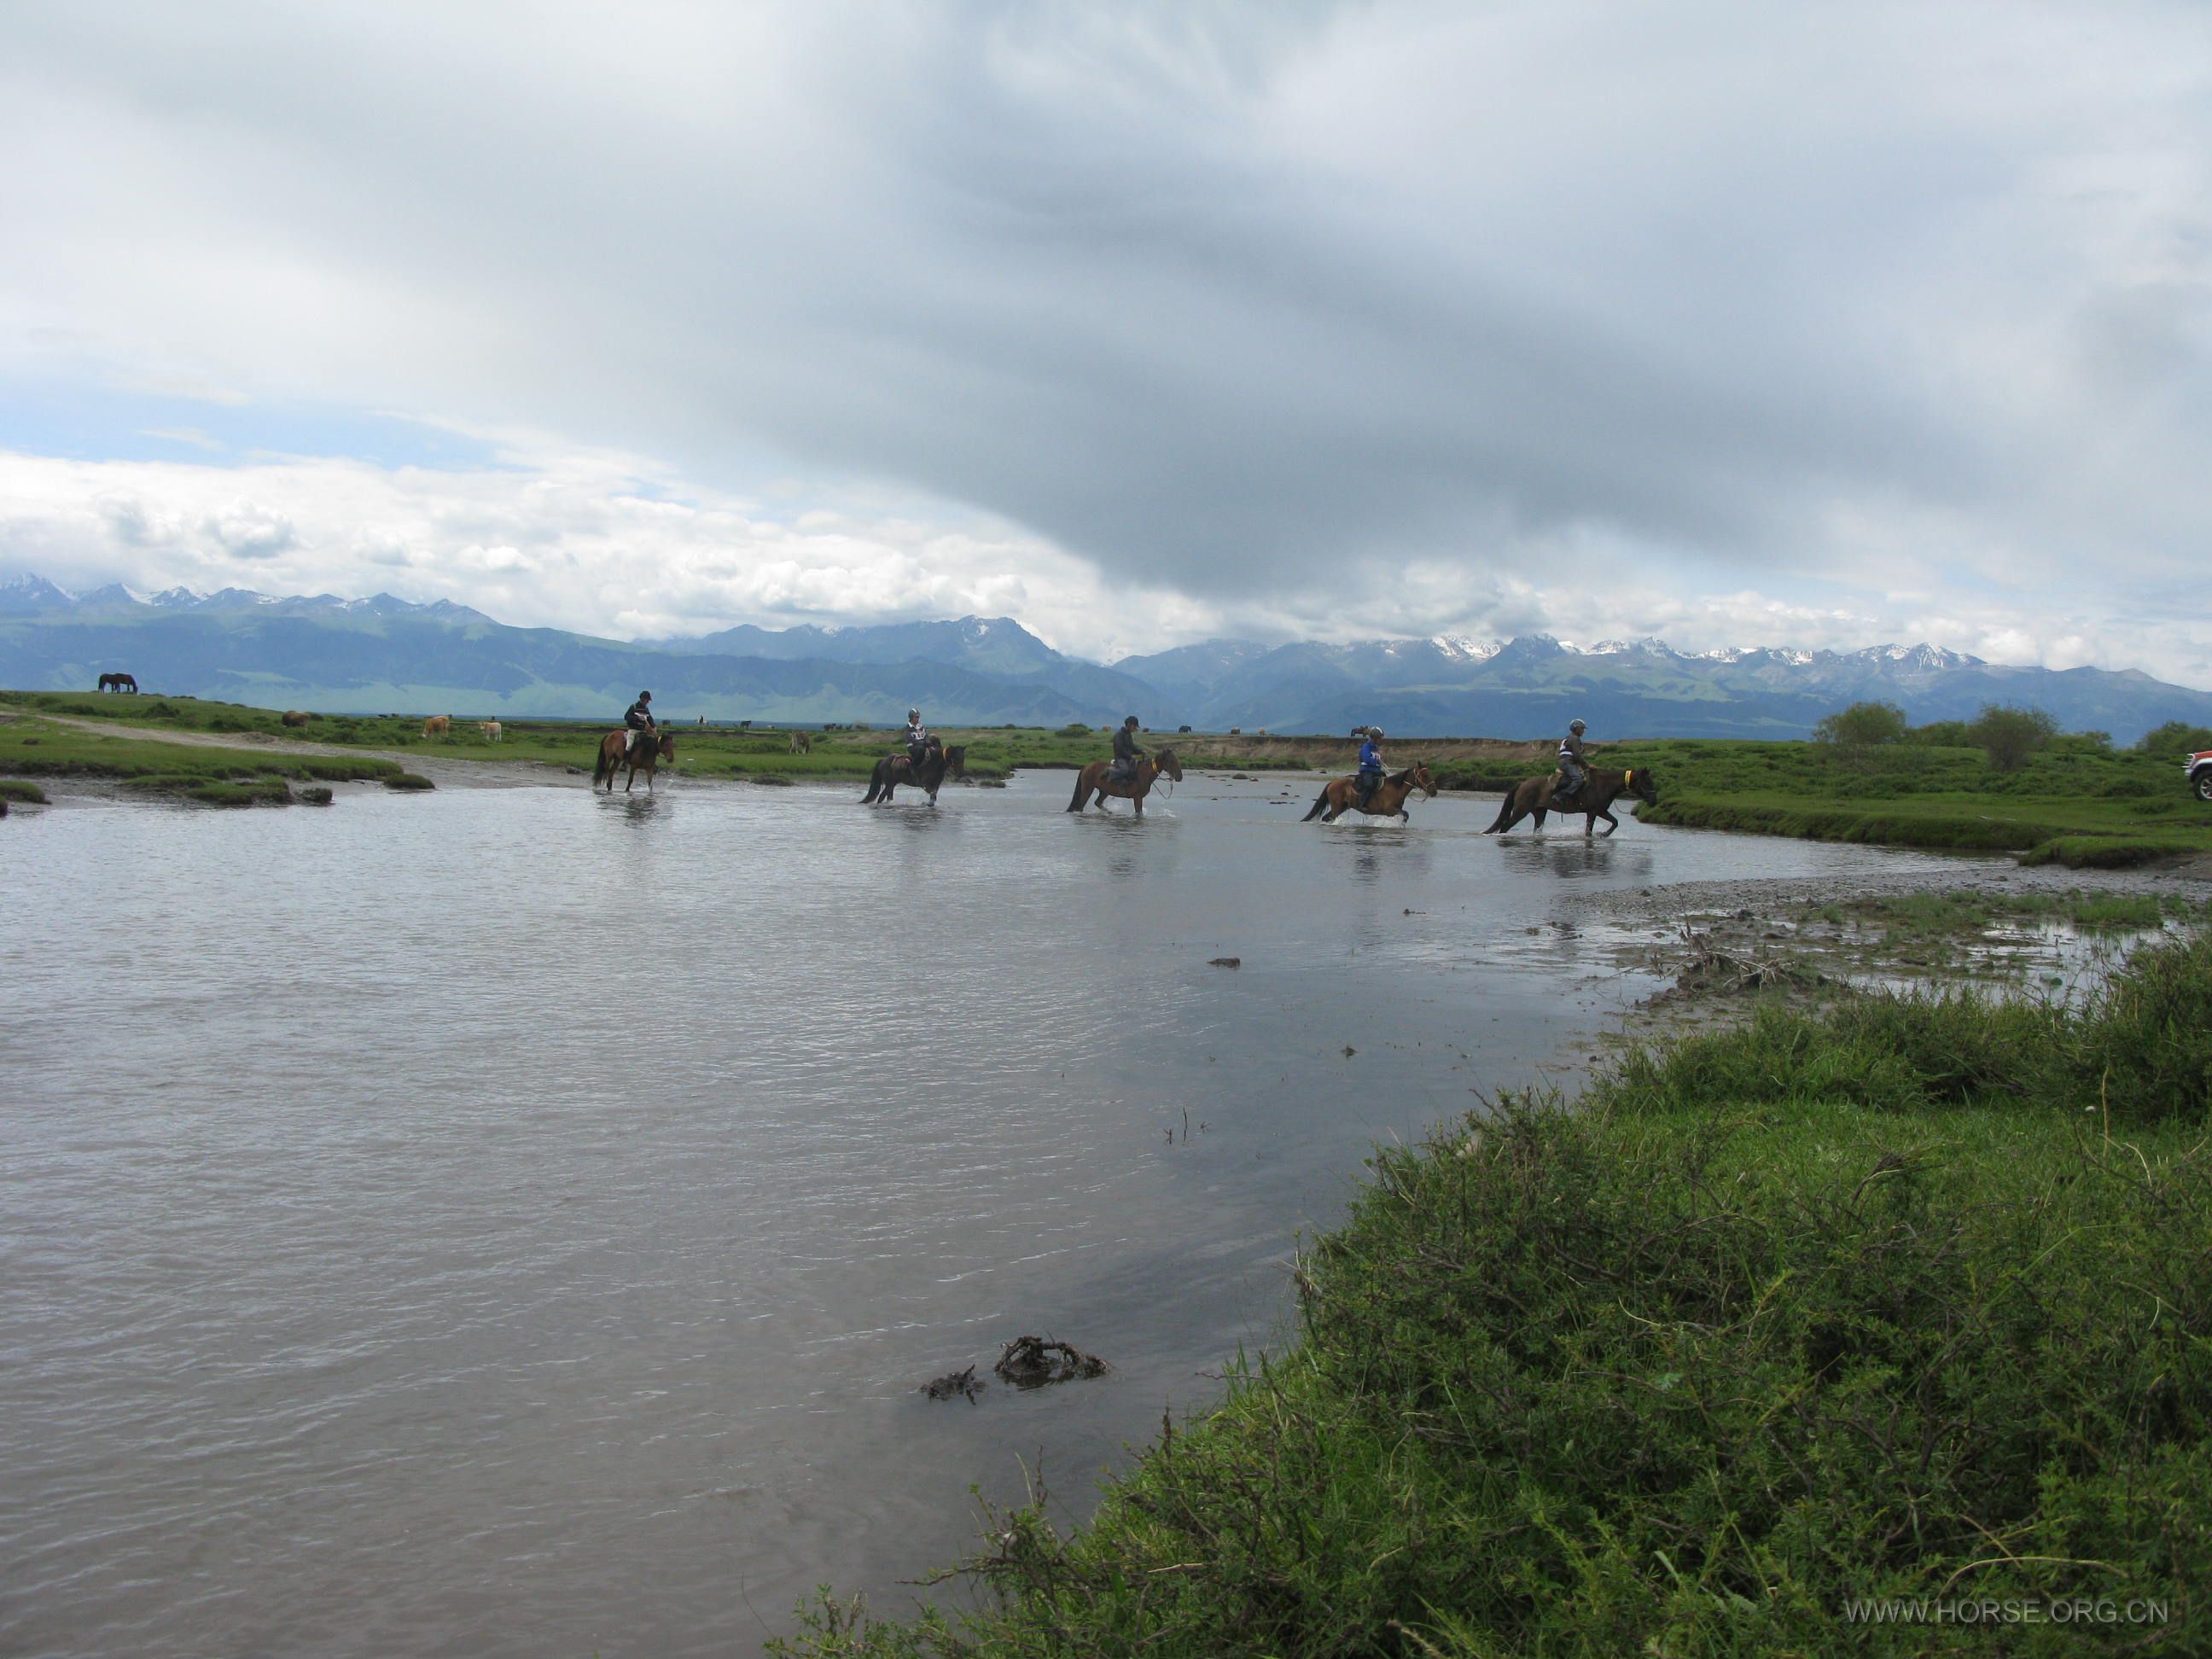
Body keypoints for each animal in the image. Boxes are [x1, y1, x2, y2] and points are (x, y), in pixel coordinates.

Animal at [1066, 752, 1185, 813]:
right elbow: (1138, 812)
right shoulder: (1137, 797)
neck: (1144, 773)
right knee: (1081, 806)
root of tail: (1086, 767)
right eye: (1171, 761)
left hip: (1104, 791)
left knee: (1097, 803)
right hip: (1088, 788)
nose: (1180, 777)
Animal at [1301, 760, 1441, 827]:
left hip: (1342, 807)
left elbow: (1405, 815)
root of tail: (1332, 783)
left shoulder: (1393, 811)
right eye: (1424, 775)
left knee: (1326, 818)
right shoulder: (1389, 810)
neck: (1396, 788)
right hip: (1337, 807)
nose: (1434, 791)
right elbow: (1406, 814)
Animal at [1486, 770, 1663, 845]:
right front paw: (1602, 834)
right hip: (1521, 811)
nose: (1654, 801)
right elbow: (1606, 825)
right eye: (1647, 782)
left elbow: (1613, 823)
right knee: (1505, 826)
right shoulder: (1596, 811)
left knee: (1537, 829)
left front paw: (1602, 834)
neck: (1605, 784)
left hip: (1540, 812)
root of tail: (1522, 784)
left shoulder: (1597, 812)